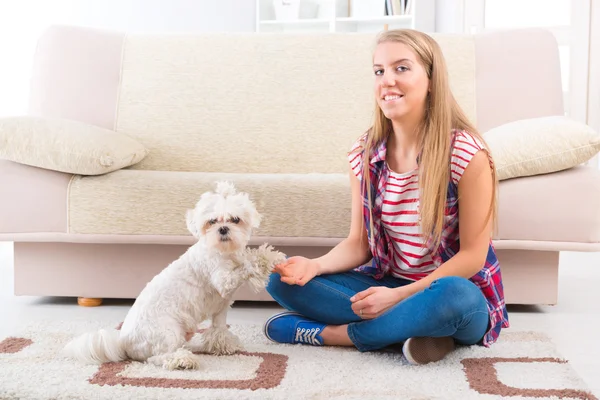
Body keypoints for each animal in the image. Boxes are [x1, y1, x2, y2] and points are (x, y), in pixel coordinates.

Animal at [62, 180, 288, 370]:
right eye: (212, 221)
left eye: (235, 219)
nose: (223, 229)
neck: (223, 251)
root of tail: (123, 342)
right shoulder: (223, 280)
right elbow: (245, 267)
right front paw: (267, 257)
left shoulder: (221, 309)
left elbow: (219, 329)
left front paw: (223, 345)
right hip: (168, 332)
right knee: (158, 357)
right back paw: (182, 360)